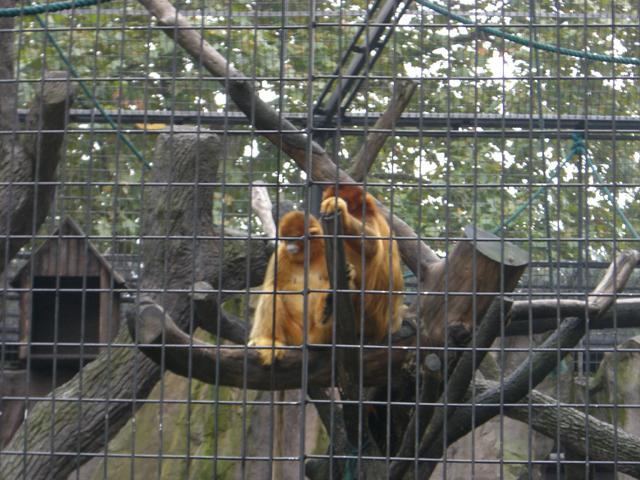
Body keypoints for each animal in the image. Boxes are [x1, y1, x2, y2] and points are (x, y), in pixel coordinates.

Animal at [248, 212, 332, 366]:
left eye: (292, 239)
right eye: (286, 240)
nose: (289, 246)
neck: (308, 258)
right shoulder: (280, 254)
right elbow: (272, 286)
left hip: (318, 334)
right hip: (294, 334)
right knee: (271, 291)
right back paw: (270, 341)